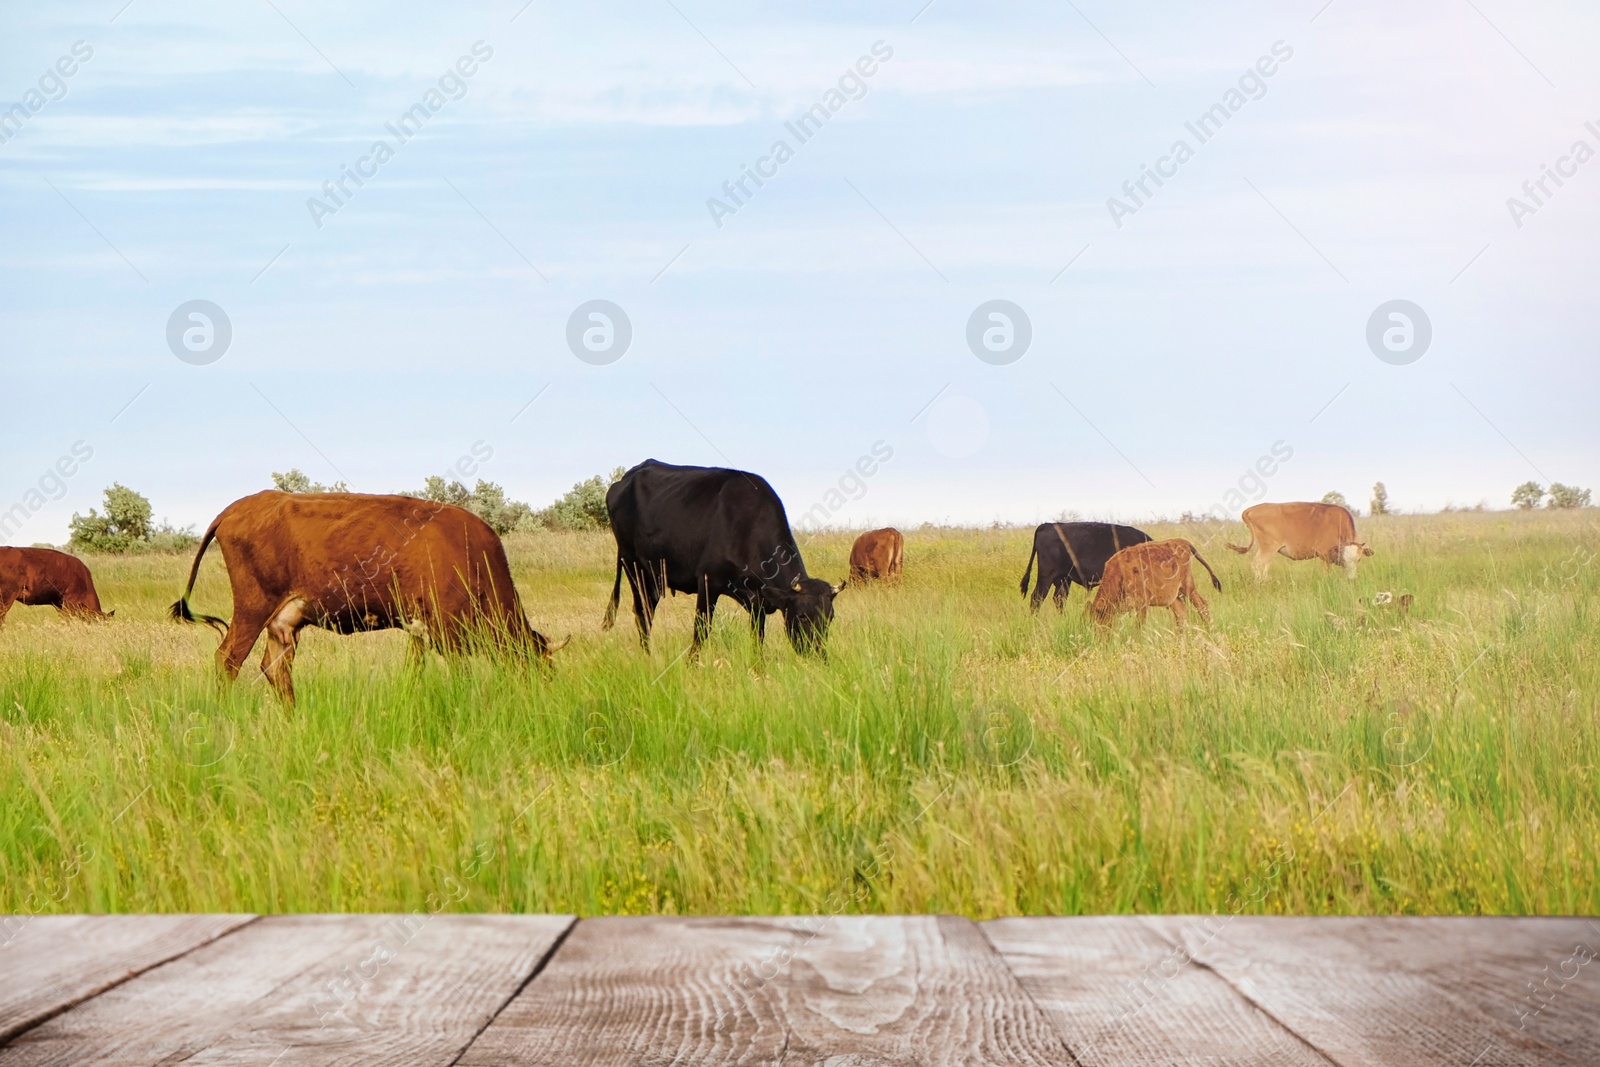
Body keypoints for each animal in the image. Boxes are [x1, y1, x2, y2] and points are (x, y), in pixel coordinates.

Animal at [168, 489, 566, 700]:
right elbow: (458, 673)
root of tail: (237, 507)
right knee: (228, 659)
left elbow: (414, 670)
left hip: (284, 621)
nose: (547, 697)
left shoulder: (419, 631)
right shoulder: (445, 631)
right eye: (541, 668)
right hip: (252, 610)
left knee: (274, 666)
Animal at [601, 460, 851, 655]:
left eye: (830, 618)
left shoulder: (758, 602)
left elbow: (757, 638)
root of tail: (629, 475)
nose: (818, 654)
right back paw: (648, 655)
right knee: (643, 613)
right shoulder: (707, 583)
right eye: (801, 616)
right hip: (633, 565)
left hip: (653, 575)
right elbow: (701, 631)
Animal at [1088, 537, 1222, 630]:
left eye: (1098, 621)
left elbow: (1139, 627)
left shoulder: (1142, 604)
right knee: (1181, 613)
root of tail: (1182, 542)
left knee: (1202, 606)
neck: (1119, 572)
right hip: (1175, 596)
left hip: (1188, 587)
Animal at [1222, 502, 1376, 579]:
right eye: (1344, 560)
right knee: (1257, 564)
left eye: (1359, 560)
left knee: (1264, 566)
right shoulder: (1324, 556)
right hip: (1268, 548)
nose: (1352, 579)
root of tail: (1252, 509)